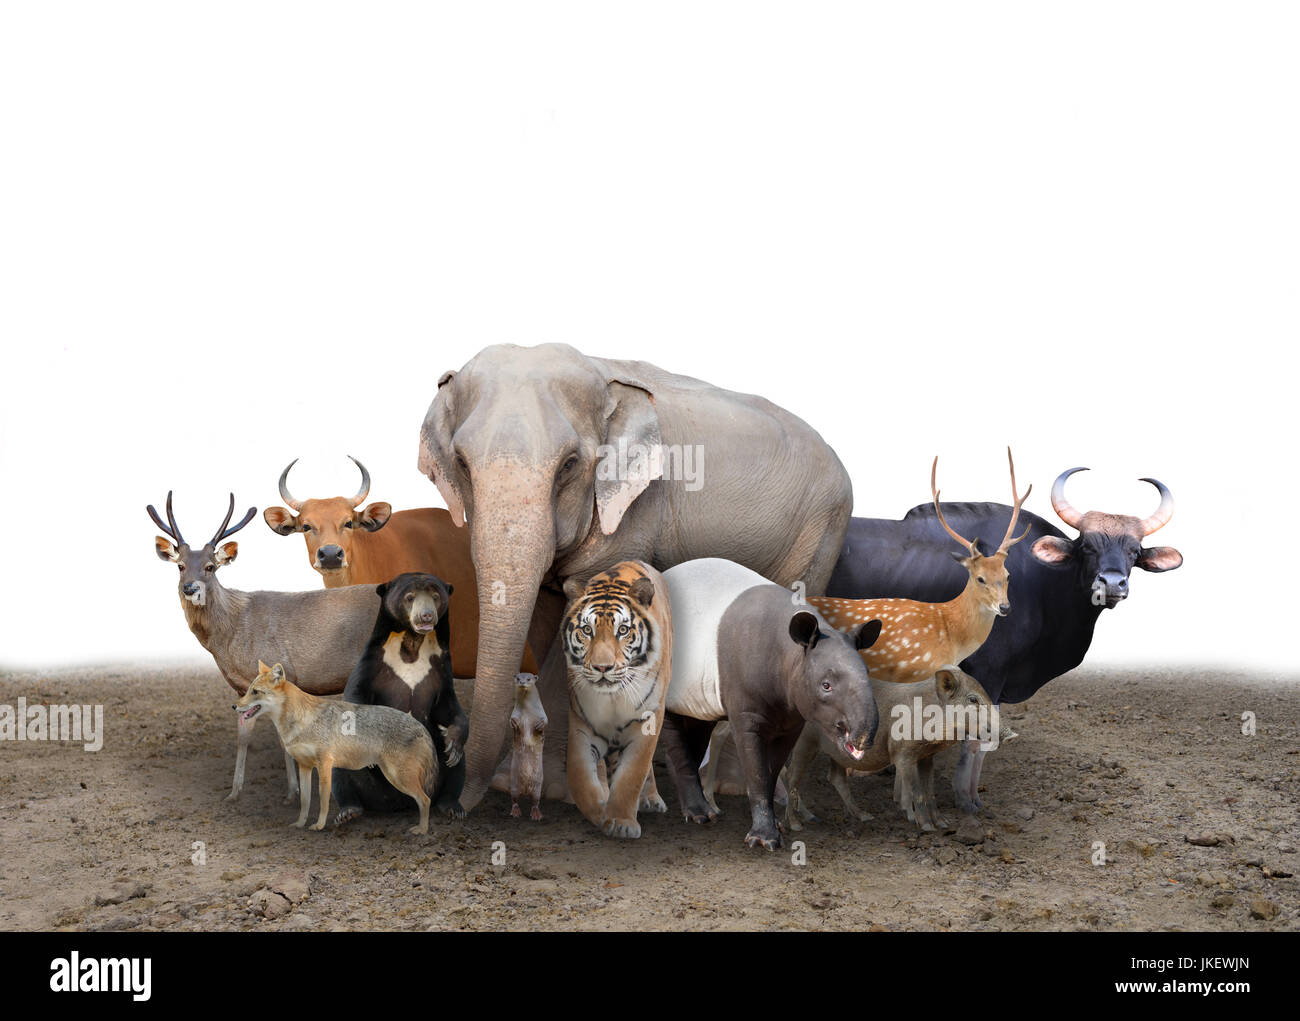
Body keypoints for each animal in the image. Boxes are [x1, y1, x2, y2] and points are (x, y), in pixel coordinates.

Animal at [150, 489, 379, 801]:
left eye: (211, 566)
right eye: (180, 566)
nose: (190, 588)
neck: (228, 639)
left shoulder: (279, 673)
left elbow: (283, 738)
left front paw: (293, 792)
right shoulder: (240, 687)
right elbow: (243, 737)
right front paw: (234, 792)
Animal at [561, 556, 676, 837]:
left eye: (623, 630)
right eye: (586, 630)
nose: (602, 667)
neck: (612, 697)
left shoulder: (646, 721)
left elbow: (633, 773)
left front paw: (622, 823)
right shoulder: (582, 725)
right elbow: (580, 778)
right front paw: (600, 811)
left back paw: (651, 800)